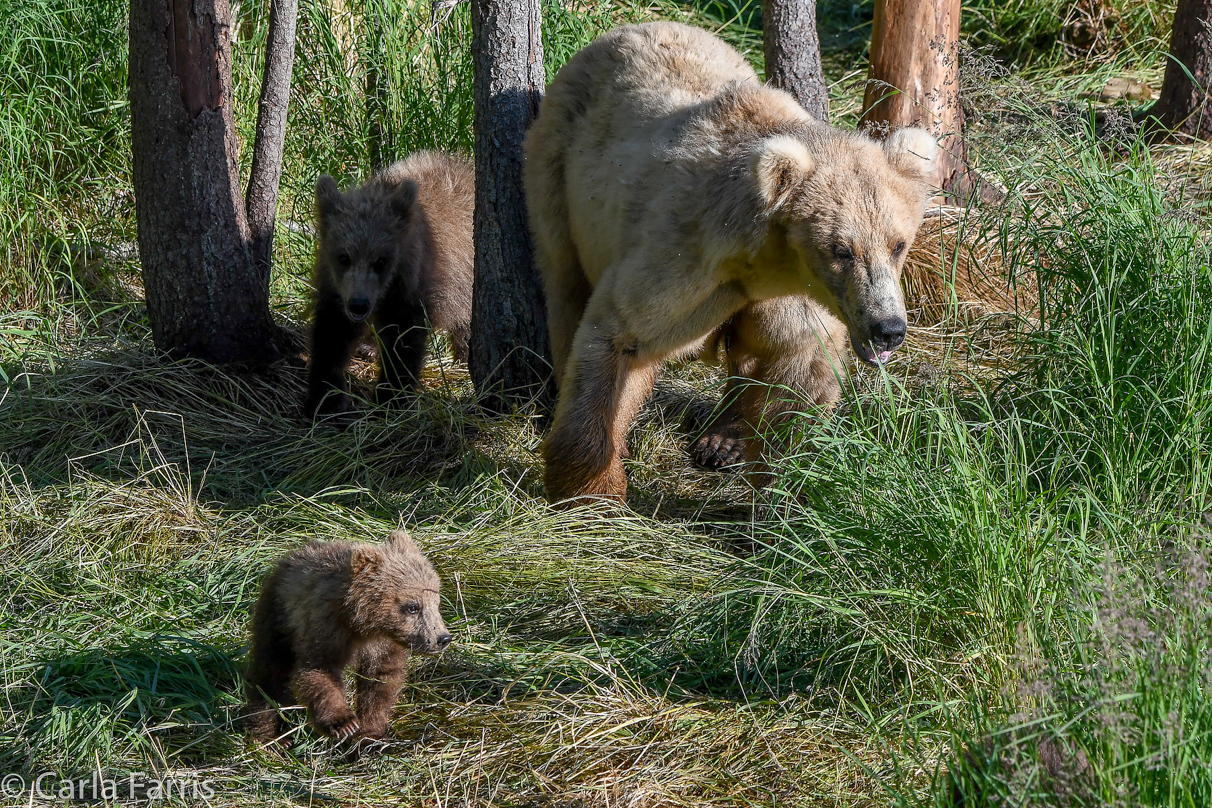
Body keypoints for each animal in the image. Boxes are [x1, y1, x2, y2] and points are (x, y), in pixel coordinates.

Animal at [528, 22, 935, 506]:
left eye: (898, 244)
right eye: (841, 249)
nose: (887, 327)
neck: (755, 261)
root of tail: (633, 27)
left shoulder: (789, 295)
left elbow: (797, 369)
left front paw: (783, 488)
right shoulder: (682, 258)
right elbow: (619, 337)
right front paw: (593, 493)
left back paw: (723, 438)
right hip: (558, 170)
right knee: (564, 284)